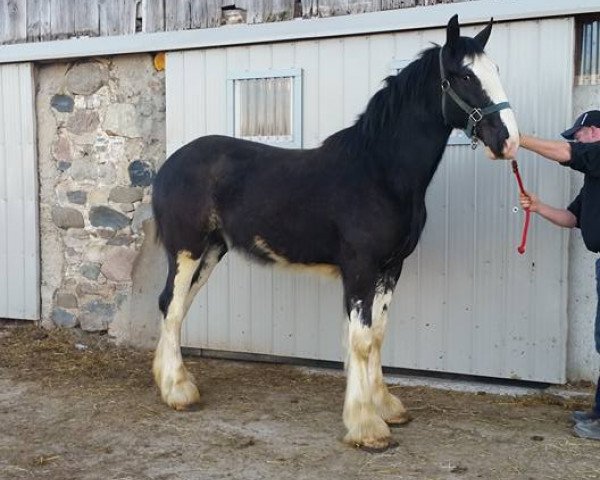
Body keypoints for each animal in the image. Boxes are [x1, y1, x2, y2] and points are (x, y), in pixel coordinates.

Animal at [152, 15, 516, 450]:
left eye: (495, 70)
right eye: (464, 75)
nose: (508, 140)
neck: (379, 172)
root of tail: (169, 166)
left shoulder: (390, 269)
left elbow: (377, 335)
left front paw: (387, 408)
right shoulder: (360, 267)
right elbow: (360, 340)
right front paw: (366, 426)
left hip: (209, 252)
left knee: (177, 306)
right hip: (186, 250)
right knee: (172, 308)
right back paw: (178, 391)